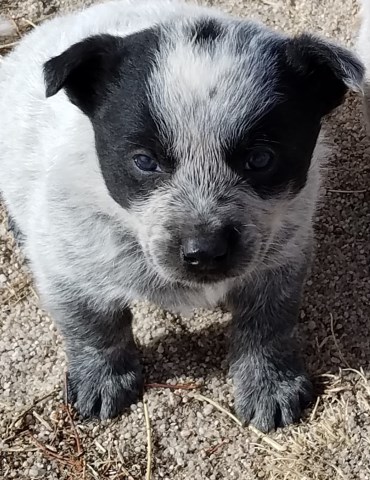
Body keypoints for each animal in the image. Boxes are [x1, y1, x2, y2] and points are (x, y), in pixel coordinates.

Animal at [0, 0, 364, 432]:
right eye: (144, 161)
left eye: (261, 159)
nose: (204, 252)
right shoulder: (68, 262)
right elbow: (93, 325)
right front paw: (101, 380)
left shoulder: (283, 251)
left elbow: (268, 324)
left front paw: (270, 385)